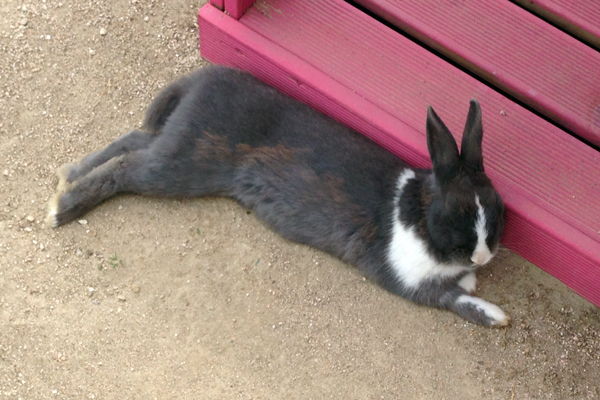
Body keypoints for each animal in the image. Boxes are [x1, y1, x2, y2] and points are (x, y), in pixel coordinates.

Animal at [48, 65, 506, 326]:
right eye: (455, 214)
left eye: (497, 207)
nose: (484, 256)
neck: (417, 215)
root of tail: (203, 79)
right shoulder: (404, 280)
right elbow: (453, 299)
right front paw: (498, 316)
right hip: (184, 164)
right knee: (126, 169)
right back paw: (60, 209)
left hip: (175, 146)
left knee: (132, 141)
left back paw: (68, 174)